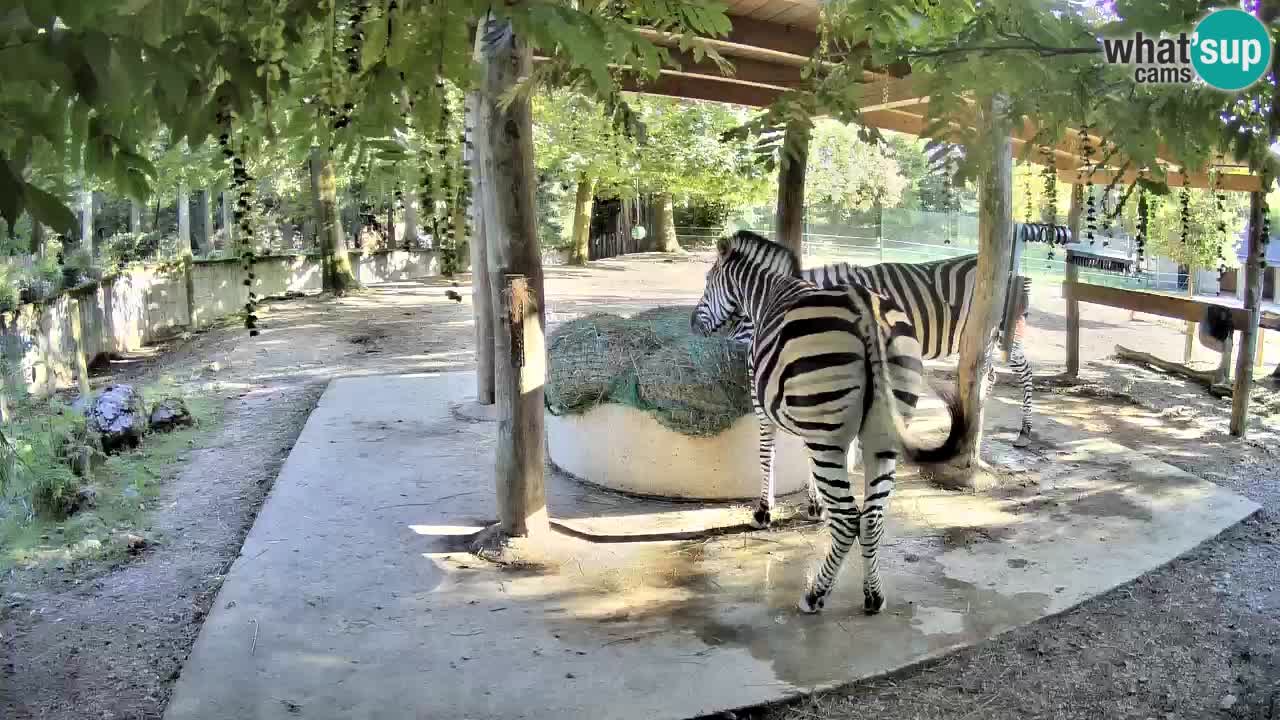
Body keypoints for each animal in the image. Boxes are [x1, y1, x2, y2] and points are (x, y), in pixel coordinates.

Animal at [691, 229, 962, 609]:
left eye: (707, 279)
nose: (693, 325)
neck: (767, 294)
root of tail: (867, 308)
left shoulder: (766, 410)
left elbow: (766, 457)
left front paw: (764, 512)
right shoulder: (811, 421)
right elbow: (808, 464)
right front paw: (816, 505)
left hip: (828, 432)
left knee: (849, 519)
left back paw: (815, 594)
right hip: (878, 433)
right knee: (872, 517)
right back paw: (873, 596)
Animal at [727, 254, 1034, 525]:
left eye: (739, 318)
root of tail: (1013, 274)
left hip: (998, 335)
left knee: (1020, 372)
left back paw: (1023, 431)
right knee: (991, 375)